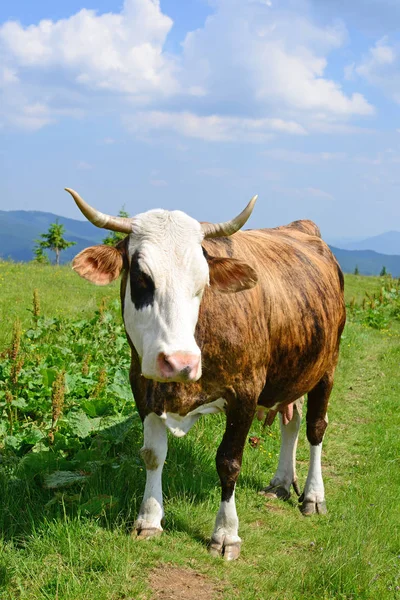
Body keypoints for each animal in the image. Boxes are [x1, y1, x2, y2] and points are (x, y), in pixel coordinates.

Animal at [66, 185, 346, 560]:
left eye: (203, 282)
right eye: (141, 277)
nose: (180, 362)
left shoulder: (245, 392)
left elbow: (229, 462)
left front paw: (226, 533)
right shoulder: (143, 385)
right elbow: (152, 455)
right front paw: (149, 519)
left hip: (327, 365)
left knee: (316, 427)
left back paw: (313, 496)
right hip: (292, 369)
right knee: (292, 420)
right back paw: (281, 482)